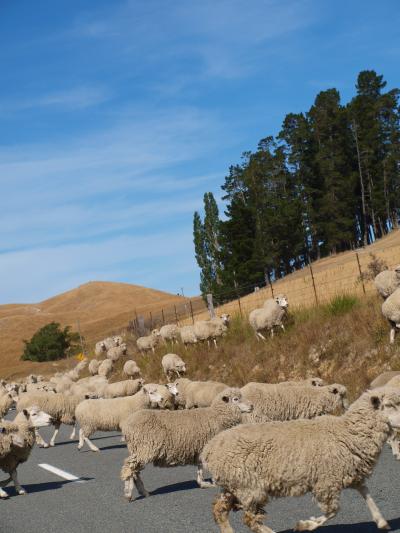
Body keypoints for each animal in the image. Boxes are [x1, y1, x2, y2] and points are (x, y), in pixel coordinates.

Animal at [119, 386, 252, 498]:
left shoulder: (200, 447)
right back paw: (128, 494)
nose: (252, 406)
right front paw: (212, 482)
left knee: (134, 471)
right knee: (129, 467)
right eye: (236, 399)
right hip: (144, 448)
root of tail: (127, 426)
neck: (217, 416)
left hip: (137, 449)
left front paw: (202, 483)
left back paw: (143, 492)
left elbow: (200, 466)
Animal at [202, 386, 400, 532]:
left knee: (220, 510)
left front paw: (381, 521)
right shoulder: (327, 482)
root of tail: (209, 449)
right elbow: (332, 511)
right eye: (389, 405)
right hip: (249, 487)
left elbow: (367, 495)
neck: (348, 433)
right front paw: (305, 525)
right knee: (250, 519)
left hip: (234, 485)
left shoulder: (351, 474)